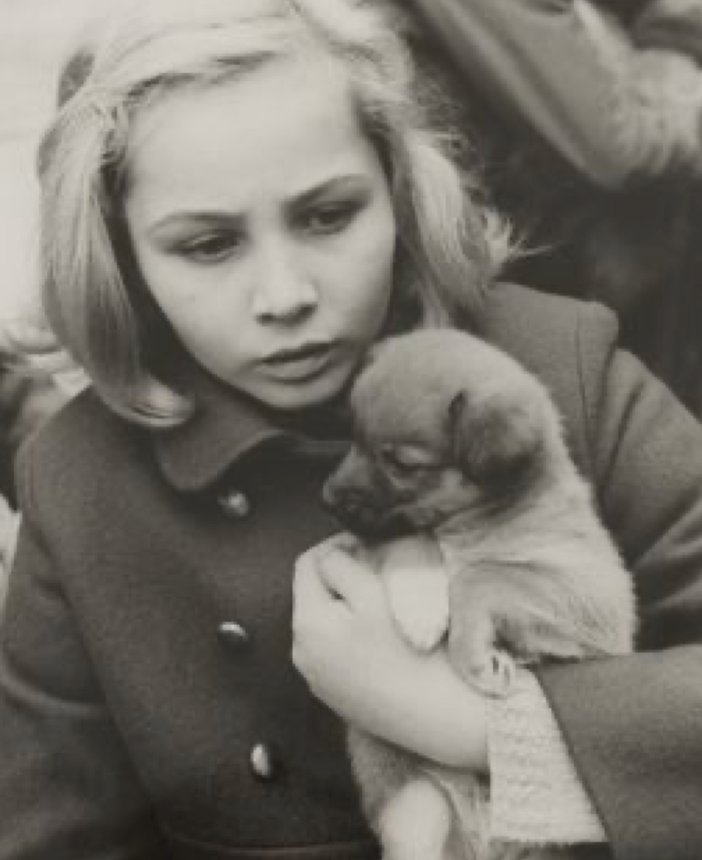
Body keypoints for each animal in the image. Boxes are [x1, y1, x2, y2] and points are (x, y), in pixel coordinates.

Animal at [324, 330, 640, 860]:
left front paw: (472, 657)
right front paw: (422, 604)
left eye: (402, 463)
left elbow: (484, 574)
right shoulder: (370, 540)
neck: (471, 524)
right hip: (415, 805)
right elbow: (408, 538)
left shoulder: (594, 597)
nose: (325, 499)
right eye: (353, 439)